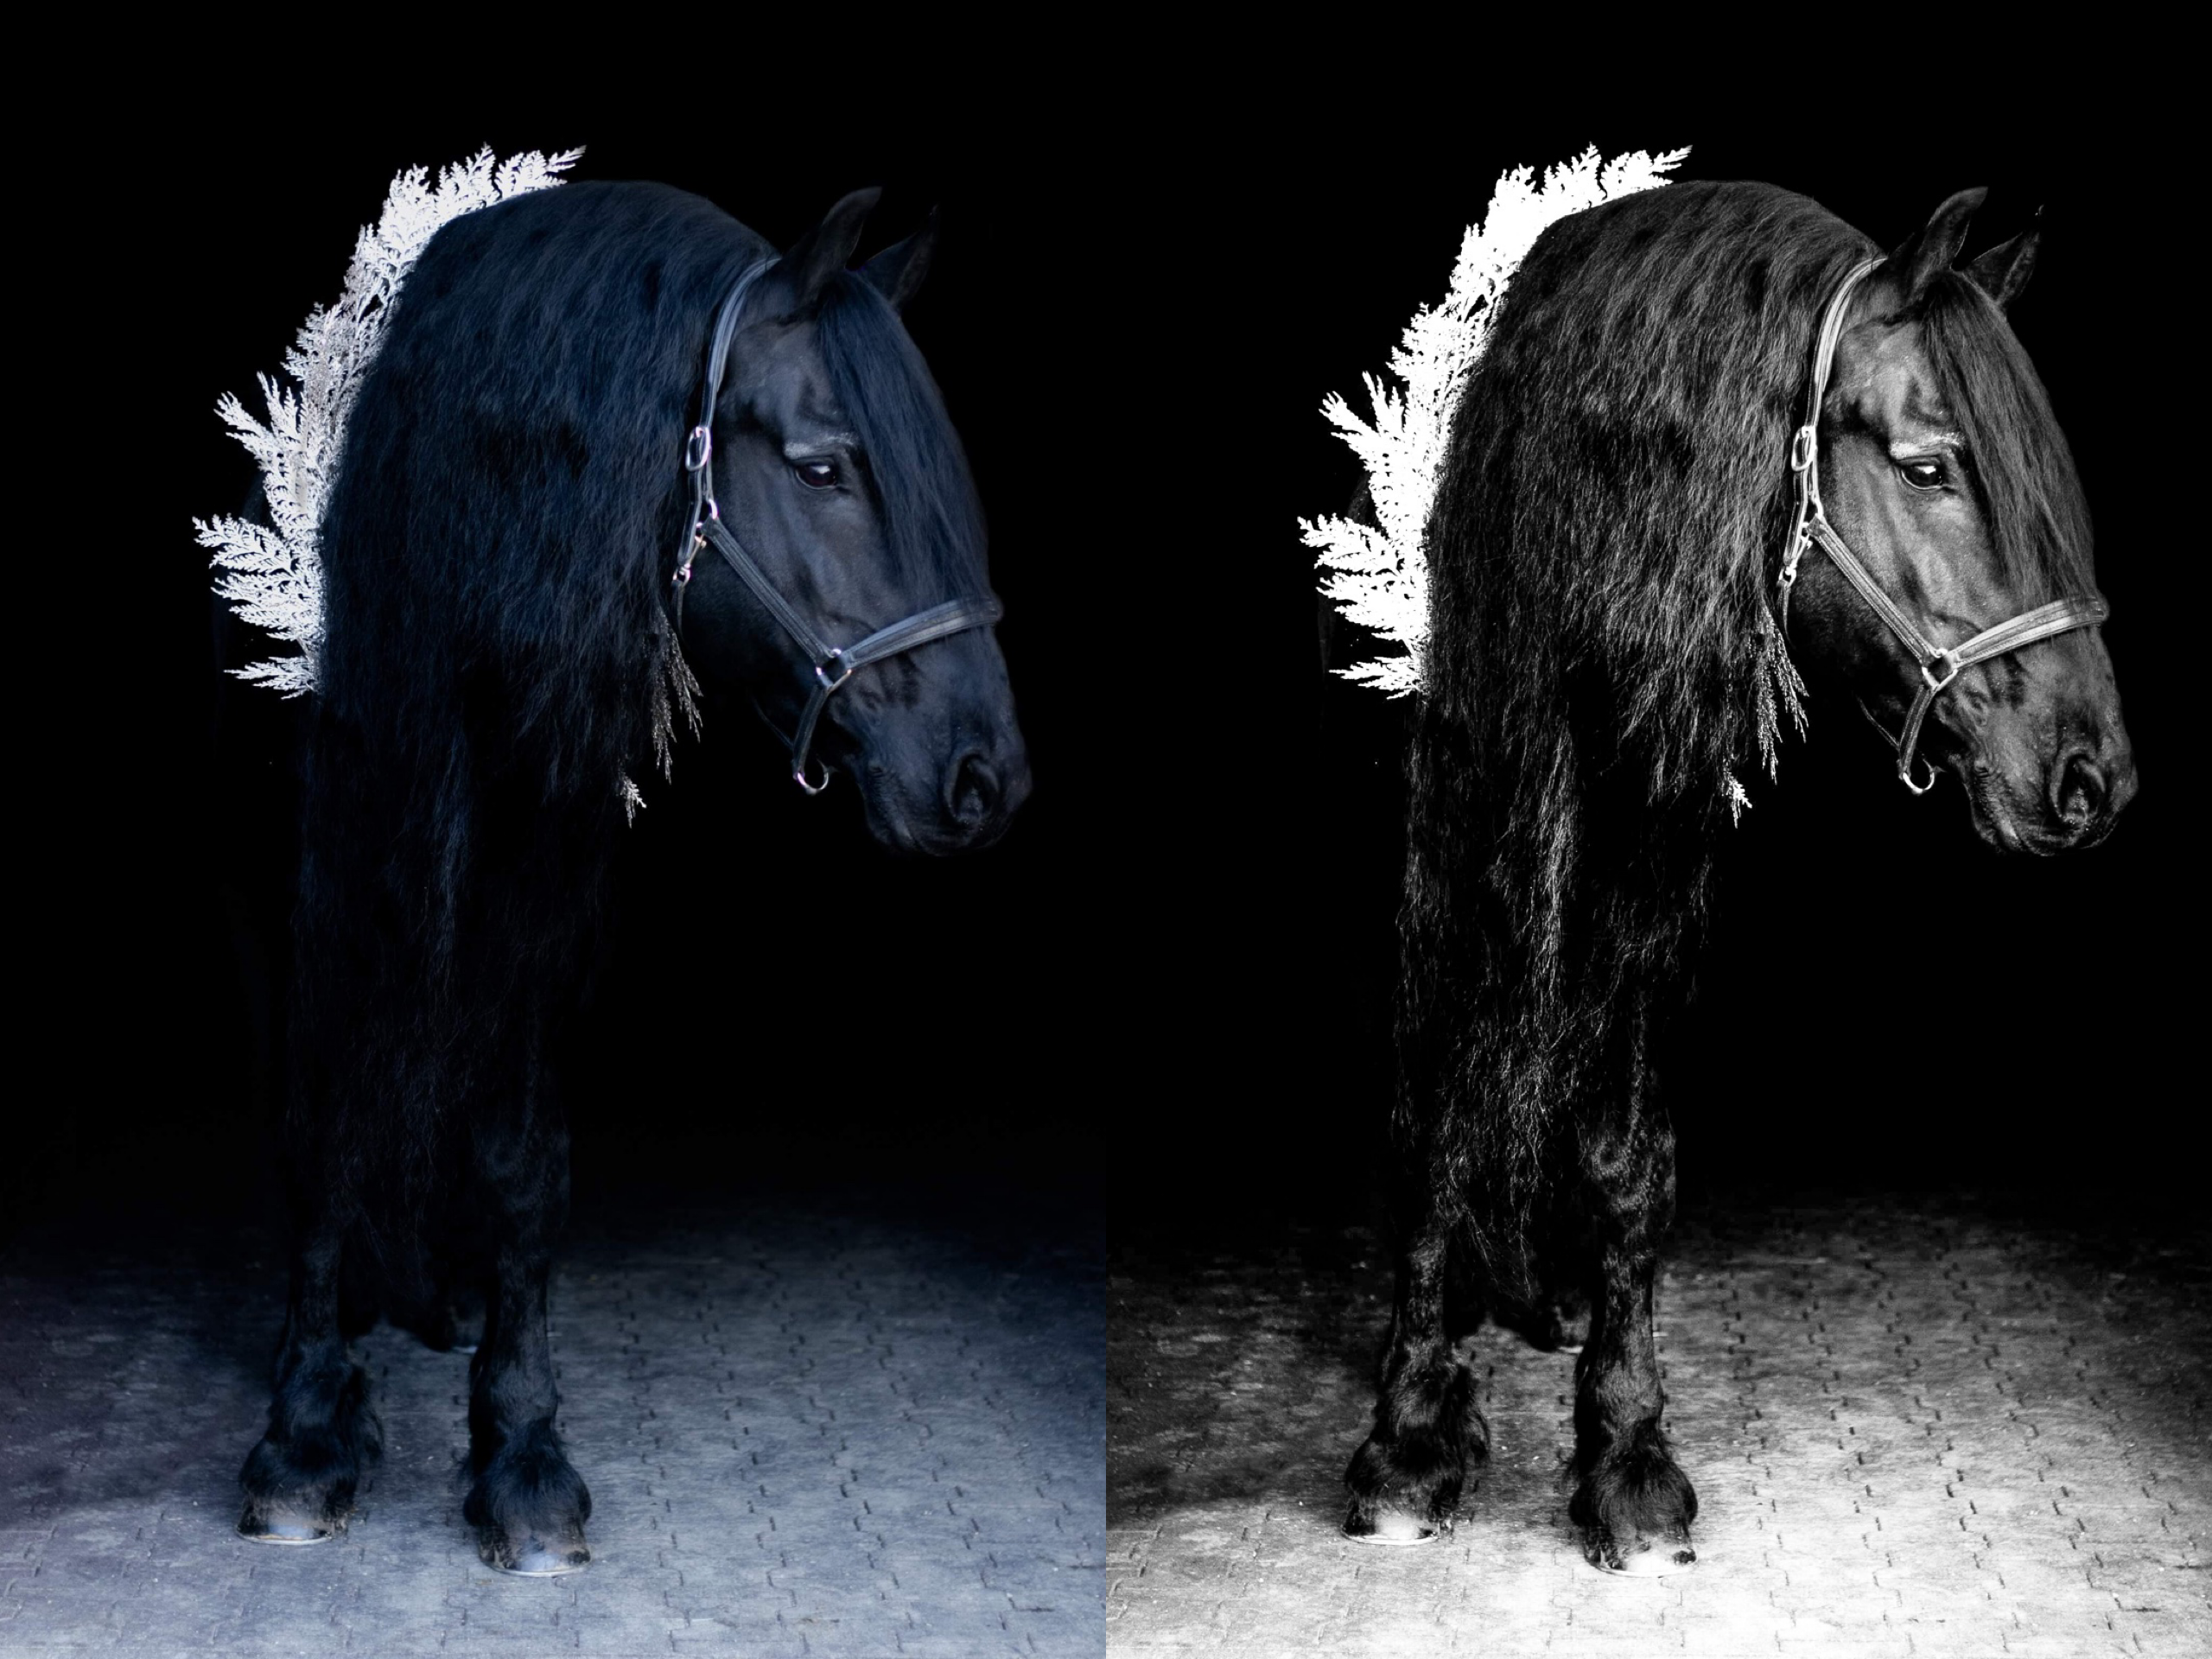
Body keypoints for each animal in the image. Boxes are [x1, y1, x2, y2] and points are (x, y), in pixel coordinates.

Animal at [232, 179, 1029, 1575]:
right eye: (823, 467)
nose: (985, 776)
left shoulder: (542, 865)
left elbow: (522, 1156)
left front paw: (521, 1452)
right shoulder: (325, 874)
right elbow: (322, 1121)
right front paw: (306, 1429)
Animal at [1341, 180, 2133, 1572]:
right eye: (1929, 467)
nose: (2092, 778)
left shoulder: (1658, 829)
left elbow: (1628, 1151)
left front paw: (1626, 1453)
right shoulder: (1472, 795)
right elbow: (1439, 1096)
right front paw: (1411, 1434)